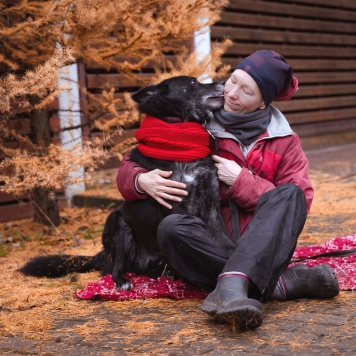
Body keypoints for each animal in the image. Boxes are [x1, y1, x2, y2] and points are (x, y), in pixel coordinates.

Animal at [20, 75, 235, 290]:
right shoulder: (176, 205)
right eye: (193, 83)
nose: (223, 82)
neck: (181, 136)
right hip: (117, 225)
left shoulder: (211, 205)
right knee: (112, 270)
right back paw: (123, 281)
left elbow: (223, 239)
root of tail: (102, 256)